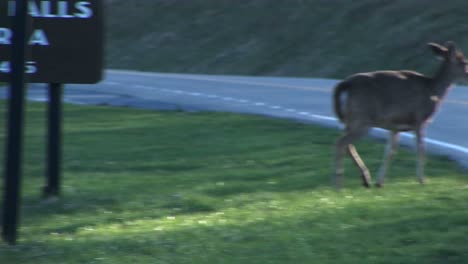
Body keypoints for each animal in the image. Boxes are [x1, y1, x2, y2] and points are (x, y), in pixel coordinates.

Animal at [332, 41, 468, 189]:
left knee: (347, 144)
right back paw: (339, 185)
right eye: (464, 62)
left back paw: (365, 180)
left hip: (351, 119)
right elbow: (421, 149)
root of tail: (346, 83)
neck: (434, 92)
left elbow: (390, 152)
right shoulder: (419, 119)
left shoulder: (394, 127)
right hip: (362, 119)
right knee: (341, 143)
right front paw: (422, 180)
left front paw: (380, 182)